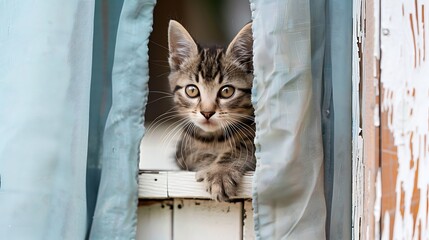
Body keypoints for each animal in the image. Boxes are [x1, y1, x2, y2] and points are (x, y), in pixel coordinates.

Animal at [166, 20, 254, 201]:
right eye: (192, 90)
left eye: (226, 91)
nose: (207, 113)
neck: (215, 138)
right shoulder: (183, 152)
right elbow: (197, 155)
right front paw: (209, 165)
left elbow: (242, 146)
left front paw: (220, 172)